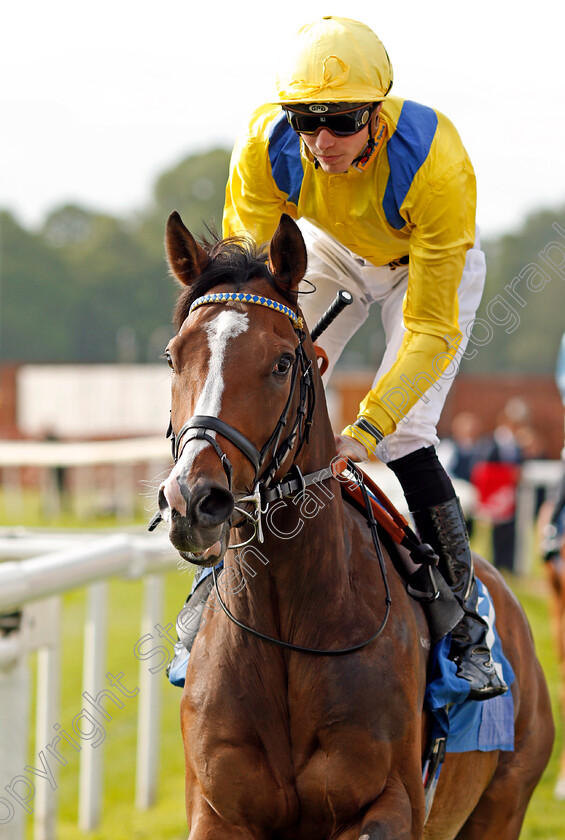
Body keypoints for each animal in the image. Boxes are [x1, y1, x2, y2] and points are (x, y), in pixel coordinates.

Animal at [156, 213, 552, 836]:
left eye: (282, 363)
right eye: (174, 356)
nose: (195, 500)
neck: (287, 627)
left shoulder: (390, 802)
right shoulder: (219, 812)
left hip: (505, 800)